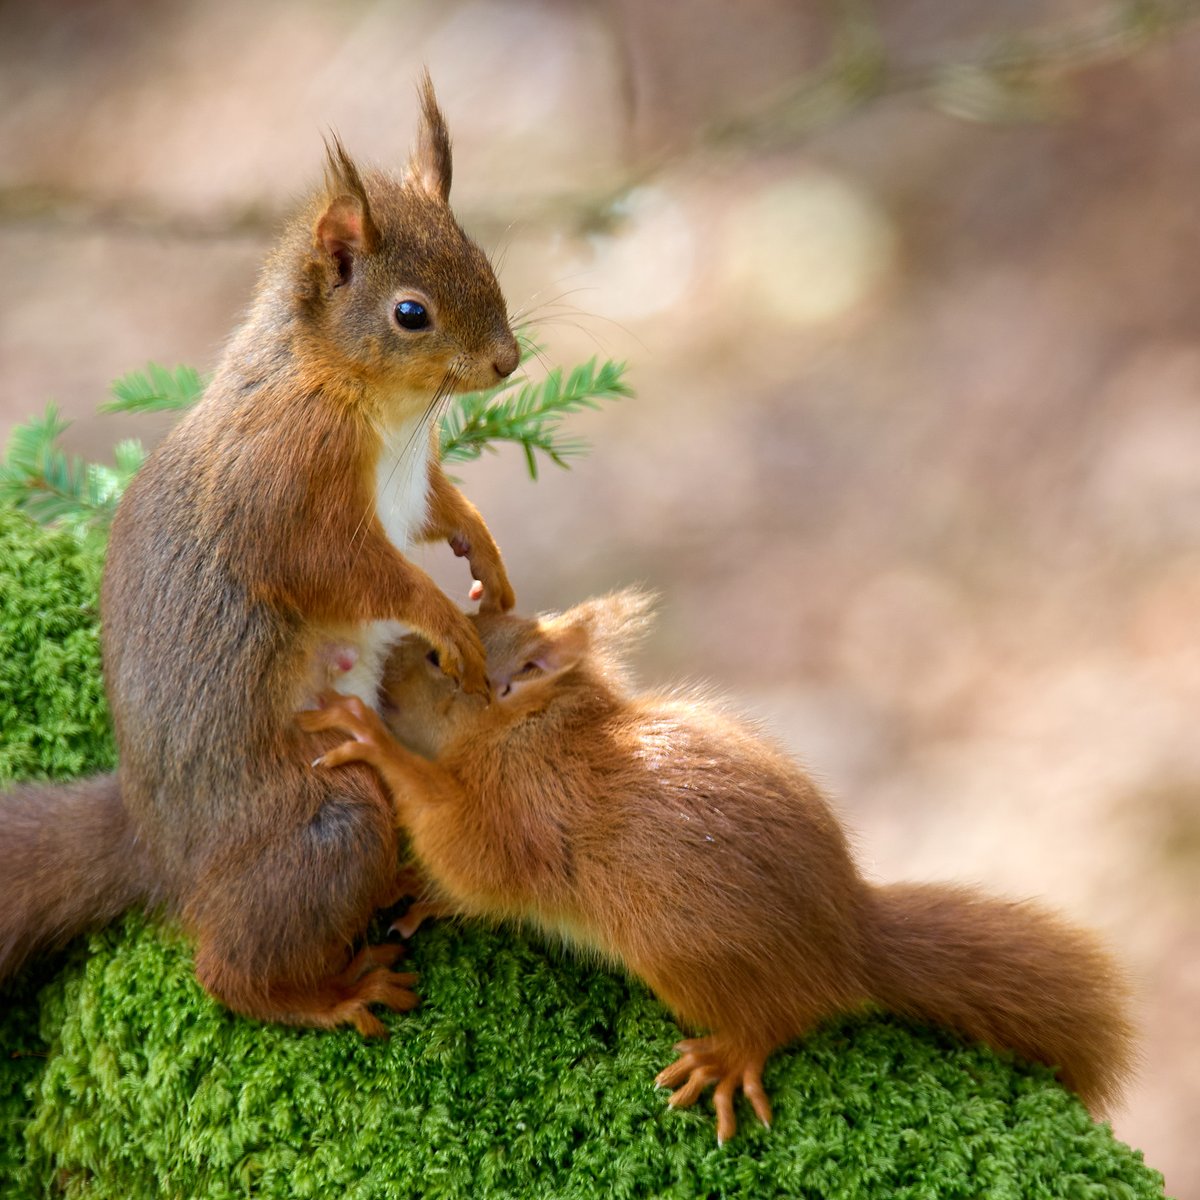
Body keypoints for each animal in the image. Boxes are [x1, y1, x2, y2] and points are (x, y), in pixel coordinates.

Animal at [0, 77, 516, 1032]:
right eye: (411, 313)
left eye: (482, 258)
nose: (508, 360)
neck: (370, 401)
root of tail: (160, 852)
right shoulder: (284, 490)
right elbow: (342, 570)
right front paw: (439, 616)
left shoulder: (409, 485)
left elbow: (442, 509)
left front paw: (486, 558)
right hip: (326, 819)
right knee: (228, 970)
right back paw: (335, 993)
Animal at [300, 590, 1132, 1142]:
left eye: (437, 660)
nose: (376, 671)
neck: (532, 731)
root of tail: (851, 942)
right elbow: (463, 888)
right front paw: (418, 889)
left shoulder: (521, 813)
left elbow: (465, 851)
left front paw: (373, 741)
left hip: (688, 958)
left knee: (786, 1016)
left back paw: (731, 1056)